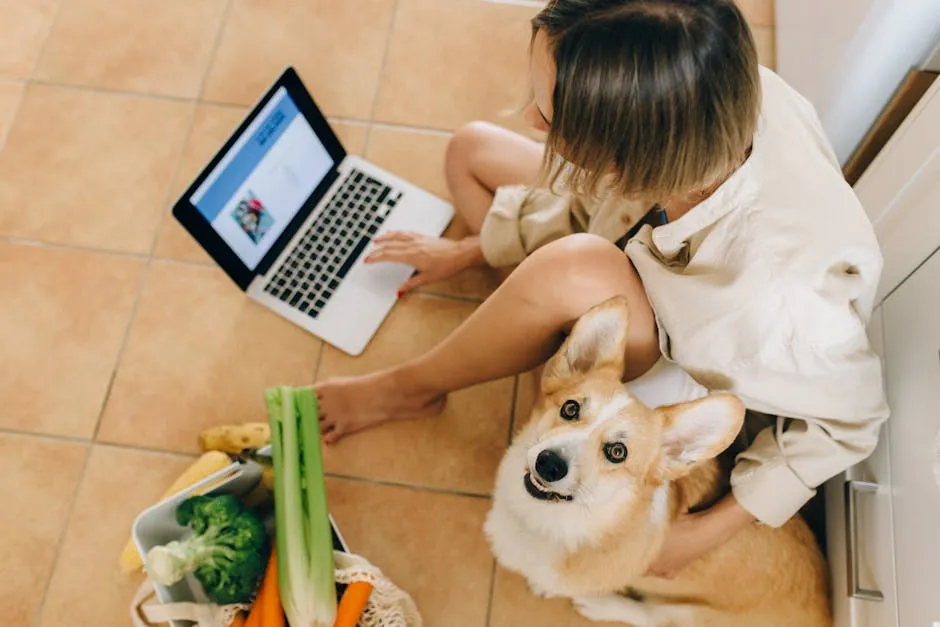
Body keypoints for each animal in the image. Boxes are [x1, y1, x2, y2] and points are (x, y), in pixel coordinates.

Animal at [484, 296, 828, 624]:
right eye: (570, 409)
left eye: (617, 452)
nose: (549, 464)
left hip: (692, 615)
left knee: (653, 617)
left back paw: (601, 605)